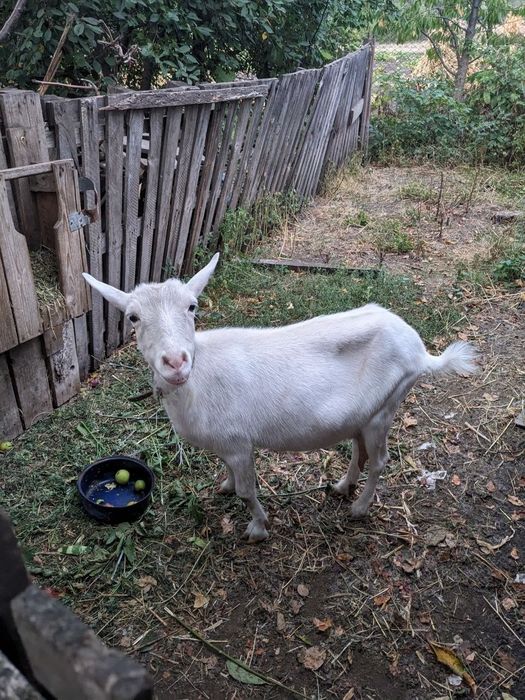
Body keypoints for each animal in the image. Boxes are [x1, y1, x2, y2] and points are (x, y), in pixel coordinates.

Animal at [83, 254, 478, 542]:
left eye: (192, 306)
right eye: (133, 317)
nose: (176, 362)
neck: (199, 381)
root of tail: (423, 353)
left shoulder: (239, 442)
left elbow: (247, 492)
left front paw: (258, 527)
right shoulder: (227, 444)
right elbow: (230, 476)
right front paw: (225, 487)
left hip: (387, 406)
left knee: (380, 460)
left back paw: (359, 508)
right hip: (363, 415)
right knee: (360, 452)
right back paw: (342, 487)